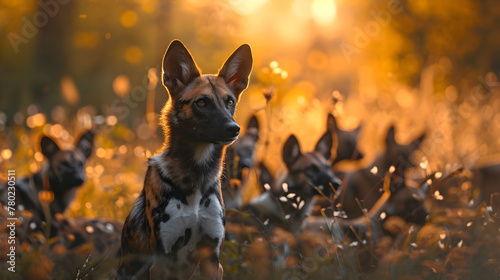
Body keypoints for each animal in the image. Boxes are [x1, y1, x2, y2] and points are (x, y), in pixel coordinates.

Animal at [115, 40, 252, 280]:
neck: (196, 175)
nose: (234, 129)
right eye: (202, 102)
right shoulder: (162, 260)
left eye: (230, 102)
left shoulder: (212, 259)